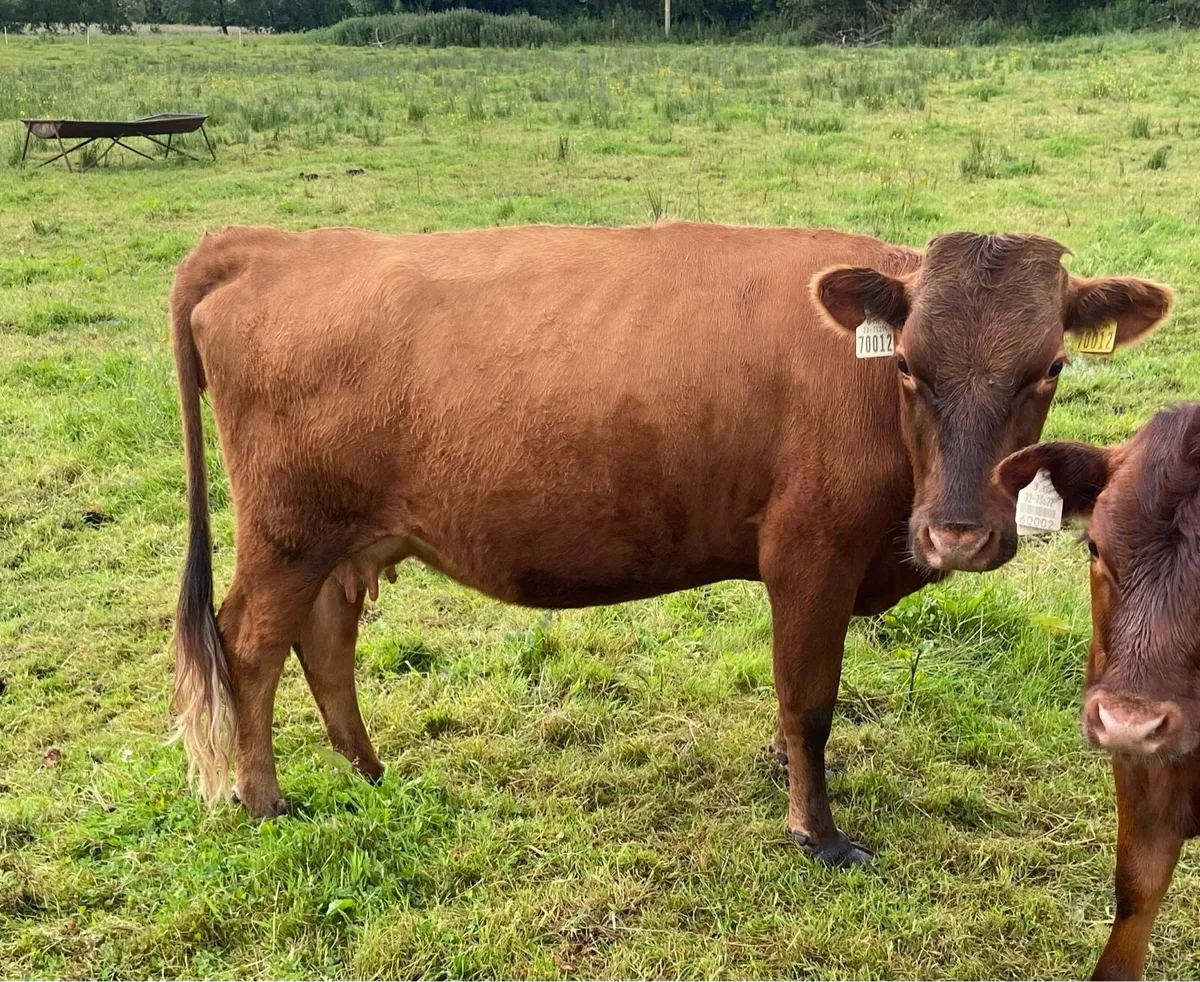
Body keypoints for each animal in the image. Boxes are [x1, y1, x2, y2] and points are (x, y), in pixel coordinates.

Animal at [170, 220, 1170, 866]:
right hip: (287, 534)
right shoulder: (810, 554)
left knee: (324, 641)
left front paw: (785, 776)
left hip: (343, 541)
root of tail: (271, 243)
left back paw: (370, 774)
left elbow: (794, 697)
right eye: (908, 365)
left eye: (1050, 366)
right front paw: (817, 833)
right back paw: (266, 802)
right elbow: (810, 698)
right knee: (250, 647)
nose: (956, 534)